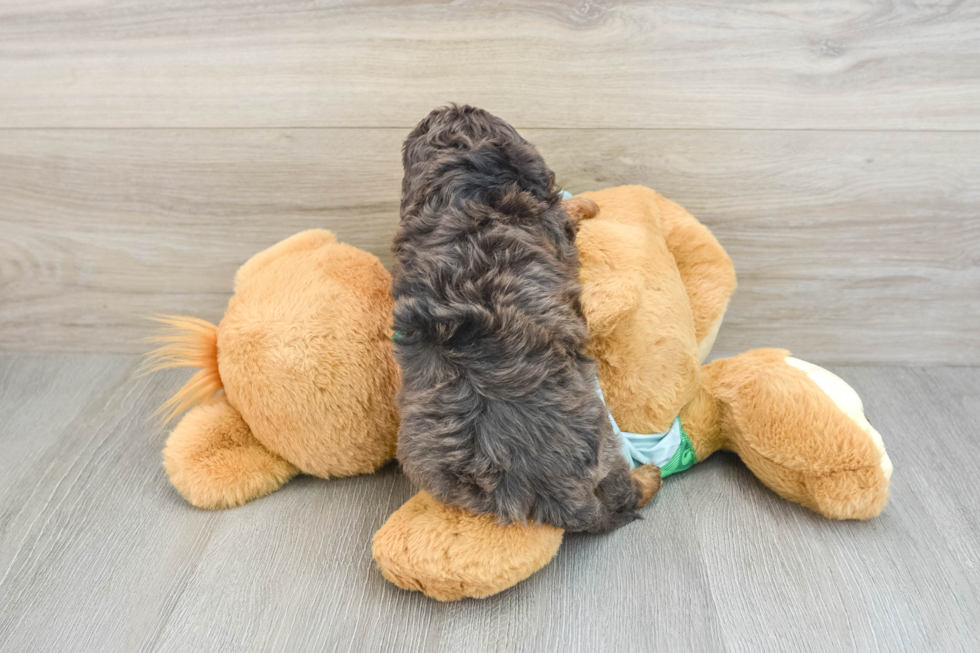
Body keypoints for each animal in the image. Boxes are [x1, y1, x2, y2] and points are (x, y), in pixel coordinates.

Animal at [390, 103, 660, 528]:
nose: (452, 105)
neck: (461, 190)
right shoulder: (556, 226)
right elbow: (568, 209)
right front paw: (588, 204)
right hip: (600, 439)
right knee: (620, 492)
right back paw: (649, 477)